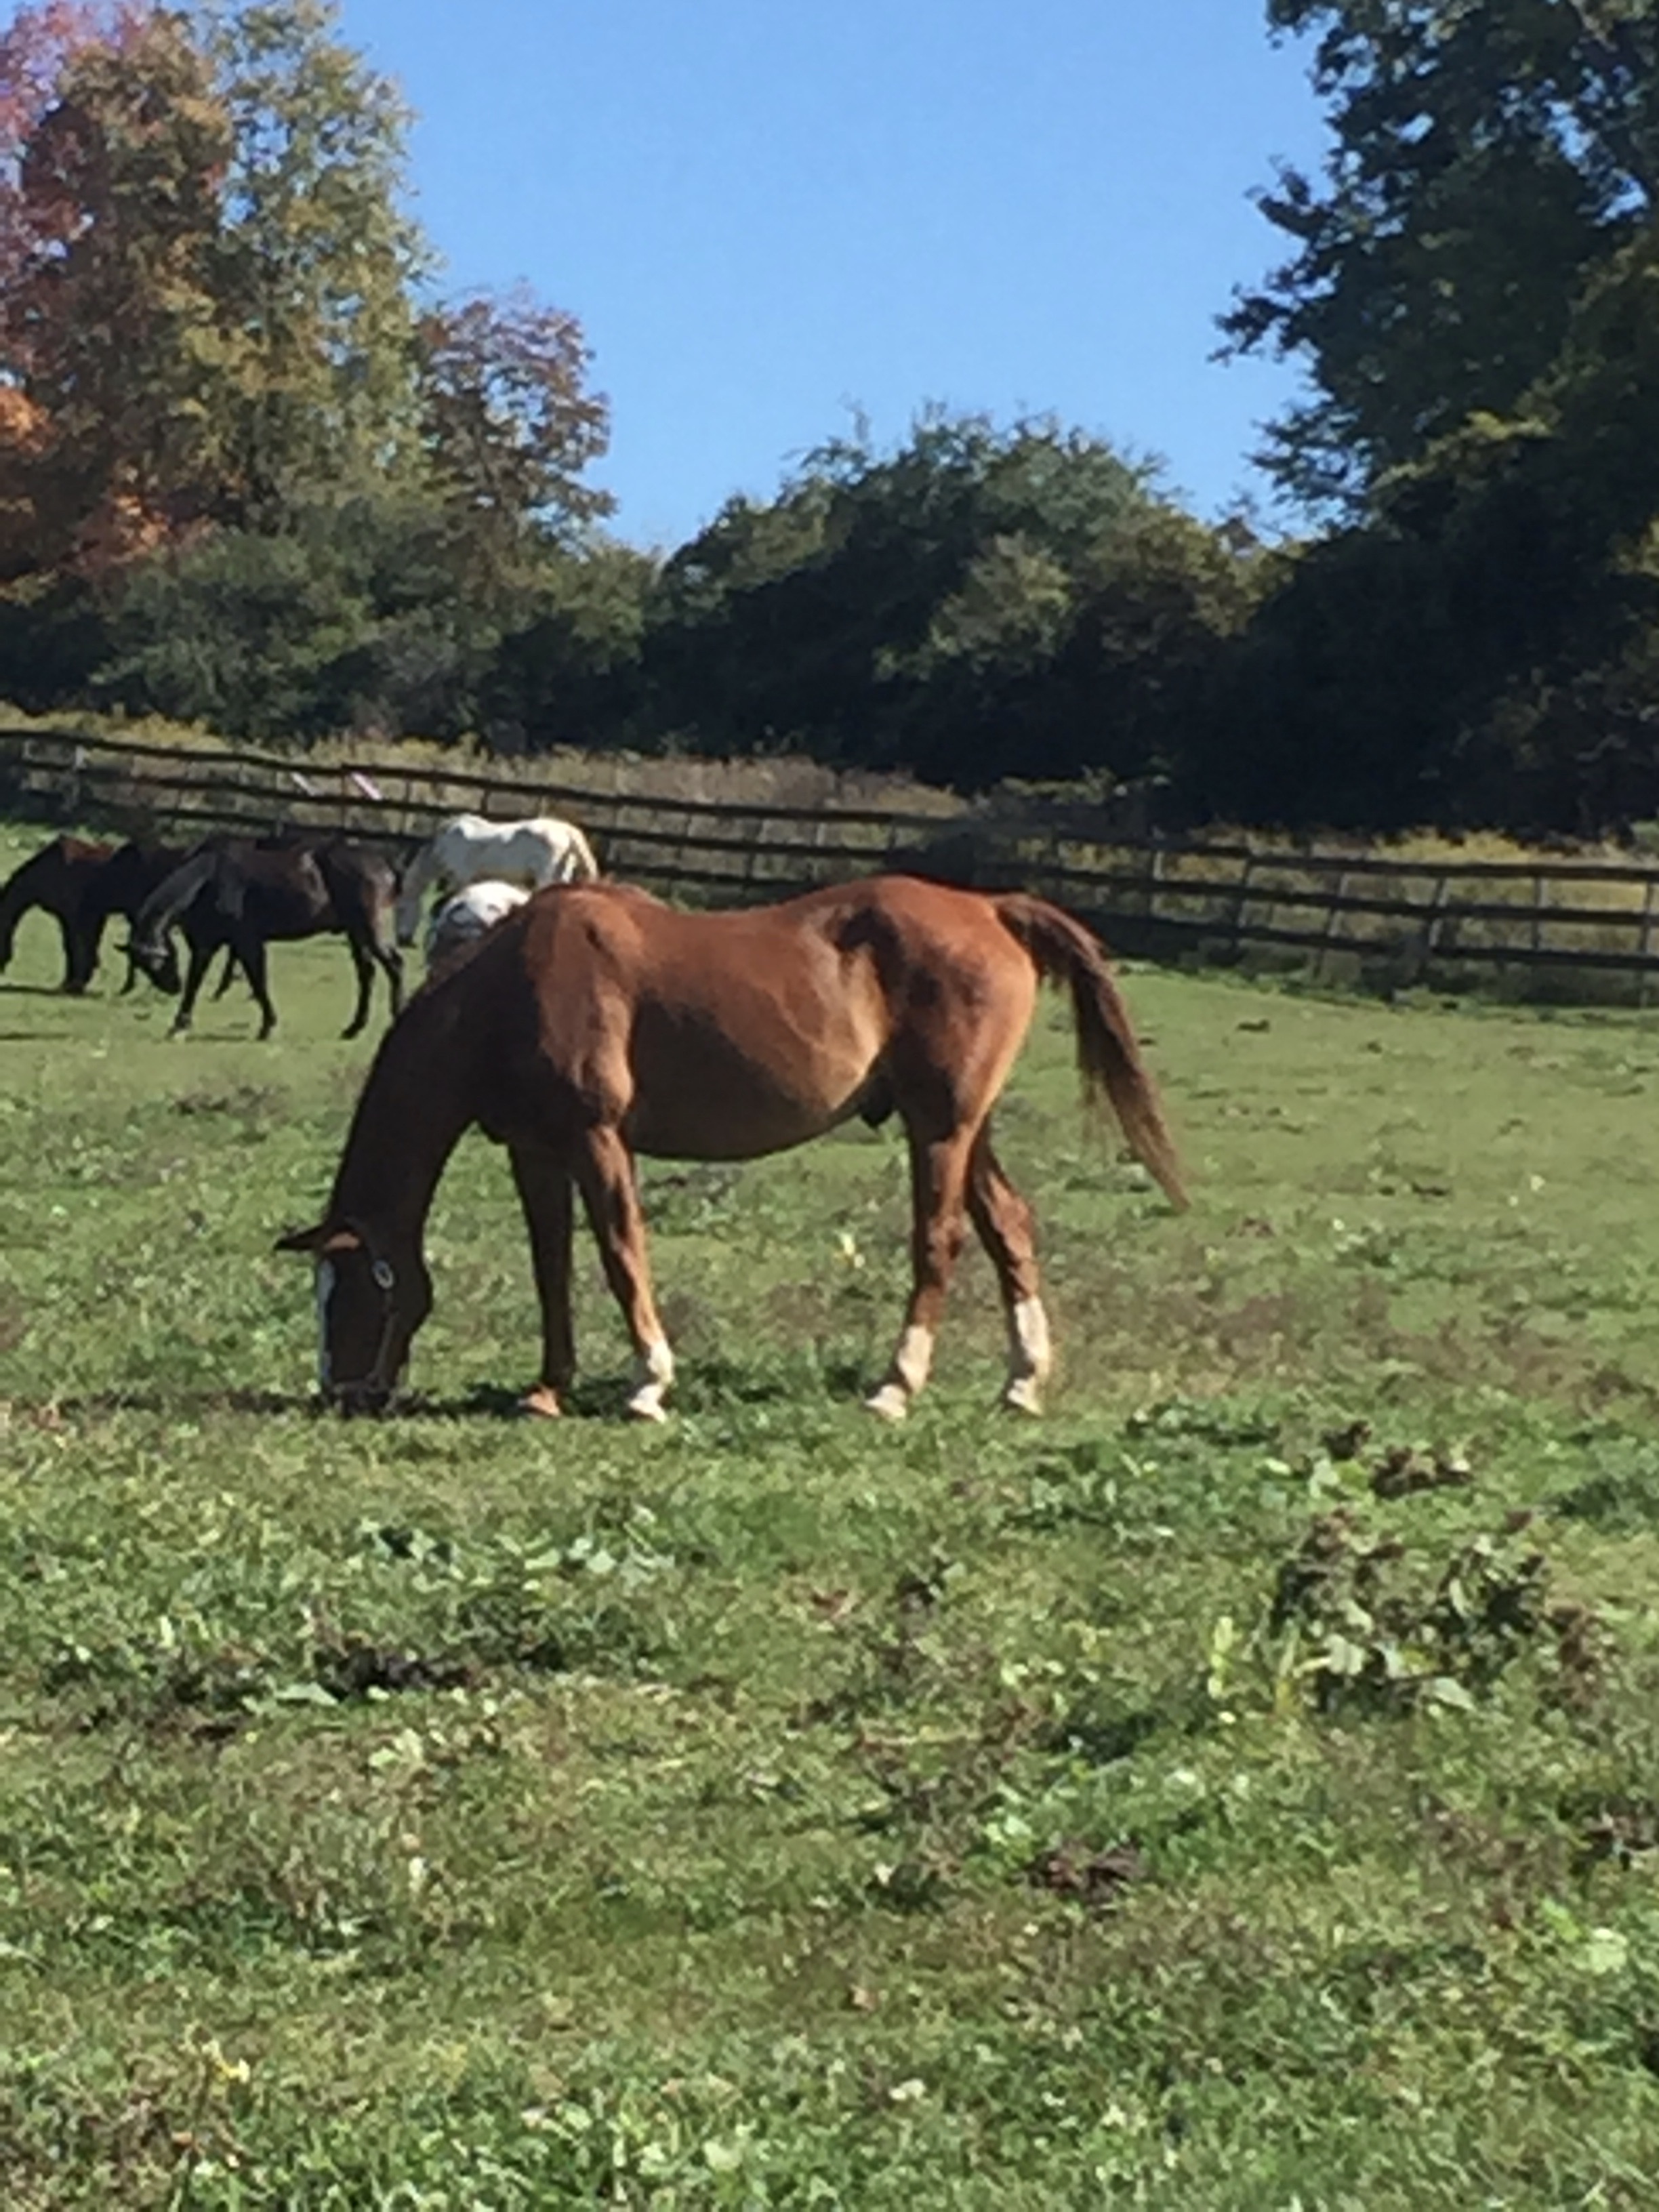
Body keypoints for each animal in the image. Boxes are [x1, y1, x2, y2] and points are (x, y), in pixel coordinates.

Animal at [129, 832, 403, 1040]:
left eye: (158, 961)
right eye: (144, 966)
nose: (172, 986)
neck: (210, 877)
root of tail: (383, 864)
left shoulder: (247, 942)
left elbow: (258, 981)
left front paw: (268, 1026)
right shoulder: (205, 945)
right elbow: (196, 980)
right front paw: (180, 1023)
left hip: (370, 930)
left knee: (395, 965)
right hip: (356, 934)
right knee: (367, 974)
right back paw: (354, 1028)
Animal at [396, 818, 606, 946]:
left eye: (401, 909)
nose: (402, 940)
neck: (445, 843)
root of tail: (567, 831)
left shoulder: (462, 877)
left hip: (546, 876)